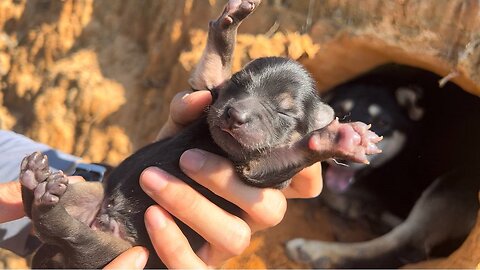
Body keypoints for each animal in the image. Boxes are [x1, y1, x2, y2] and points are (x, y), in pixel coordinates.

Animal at [17, 0, 382, 268]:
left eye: (284, 113)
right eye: (239, 82)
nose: (235, 114)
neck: (216, 145)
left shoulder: (260, 173)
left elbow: (286, 155)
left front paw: (339, 139)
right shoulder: (203, 92)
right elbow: (211, 69)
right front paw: (229, 22)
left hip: (117, 252)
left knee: (65, 233)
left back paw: (42, 196)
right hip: (89, 192)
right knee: (47, 221)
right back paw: (35, 182)